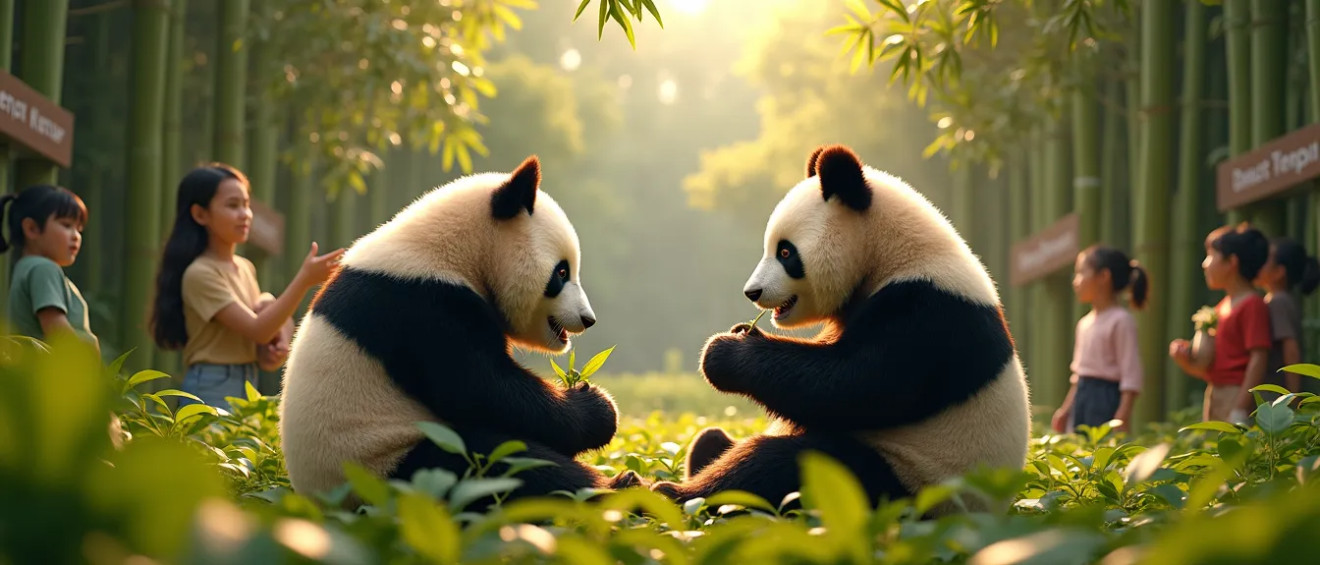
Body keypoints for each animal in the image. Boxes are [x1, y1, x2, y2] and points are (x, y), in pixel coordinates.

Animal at [279, 156, 641, 507]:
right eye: (562, 272)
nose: (587, 318)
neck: (452, 251)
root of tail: (330, 503)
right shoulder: (423, 306)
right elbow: (482, 389)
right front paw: (599, 407)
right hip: (392, 461)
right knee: (504, 465)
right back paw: (620, 492)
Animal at [651, 144, 1031, 515]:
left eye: (785, 252)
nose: (752, 292)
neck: (895, 253)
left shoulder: (928, 313)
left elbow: (855, 384)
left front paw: (723, 353)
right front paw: (745, 331)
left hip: (905, 480)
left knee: (783, 464)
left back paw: (671, 495)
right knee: (714, 439)